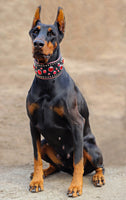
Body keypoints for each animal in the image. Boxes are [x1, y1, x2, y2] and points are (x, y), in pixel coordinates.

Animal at [26, 5, 105, 197]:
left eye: (52, 33)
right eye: (35, 32)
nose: (37, 44)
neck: (47, 80)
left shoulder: (76, 122)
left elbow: (78, 160)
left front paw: (76, 186)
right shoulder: (33, 124)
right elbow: (36, 157)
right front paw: (36, 181)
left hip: (89, 146)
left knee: (98, 166)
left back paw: (98, 177)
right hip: (46, 144)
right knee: (55, 166)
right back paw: (44, 172)